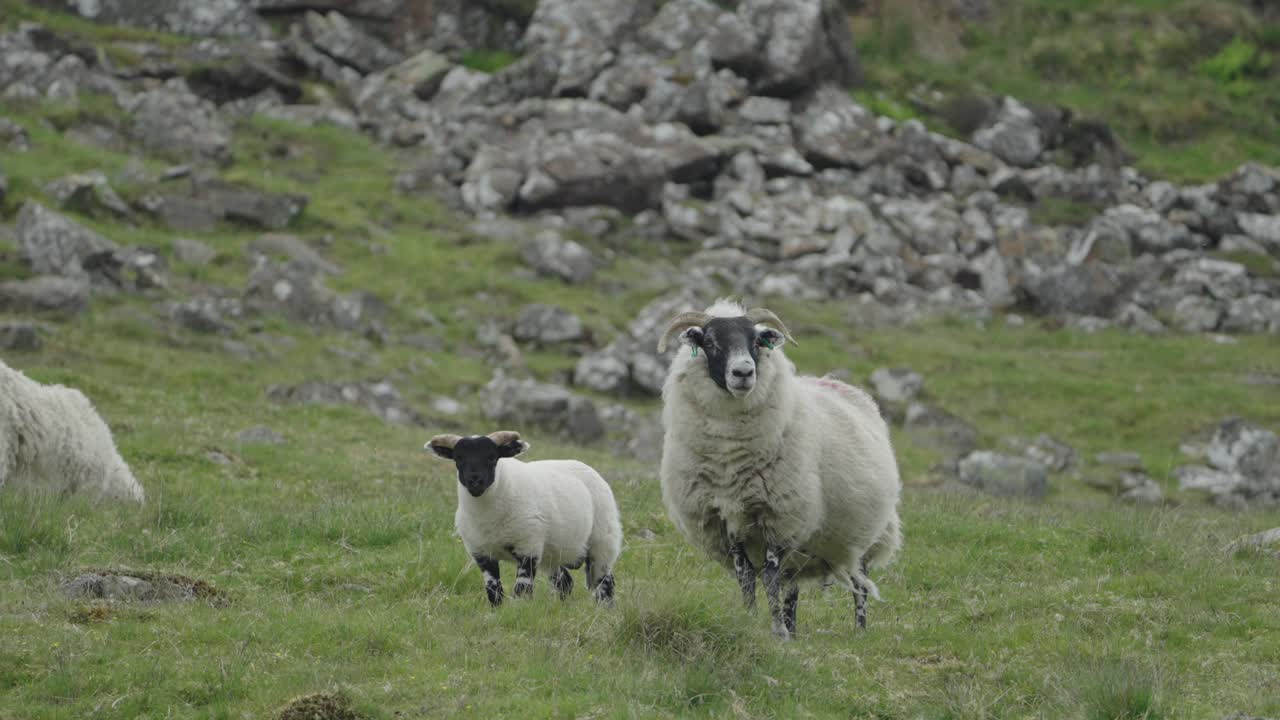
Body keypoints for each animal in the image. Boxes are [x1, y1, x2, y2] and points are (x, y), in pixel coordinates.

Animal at [425, 430, 622, 607]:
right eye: (458, 458)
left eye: (492, 457)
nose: (475, 481)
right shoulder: (481, 553)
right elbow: (493, 590)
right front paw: (497, 613)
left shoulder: (528, 547)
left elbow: (522, 589)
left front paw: (518, 611)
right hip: (552, 553)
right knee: (565, 582)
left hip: (603, 540)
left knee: (605, 582)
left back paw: (605, 610)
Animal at [655, 299, 901, 639]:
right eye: (711, 342)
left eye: (757, 341)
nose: (744, 372)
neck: (730, 461)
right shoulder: (729, 520)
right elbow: (746, 578)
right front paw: (751, 621)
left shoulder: (778, 517)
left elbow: (770, 579)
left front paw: (777, 632)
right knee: (793, 589)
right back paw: (794, 629)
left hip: (861, 534)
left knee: (860, 585)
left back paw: (859, 631)